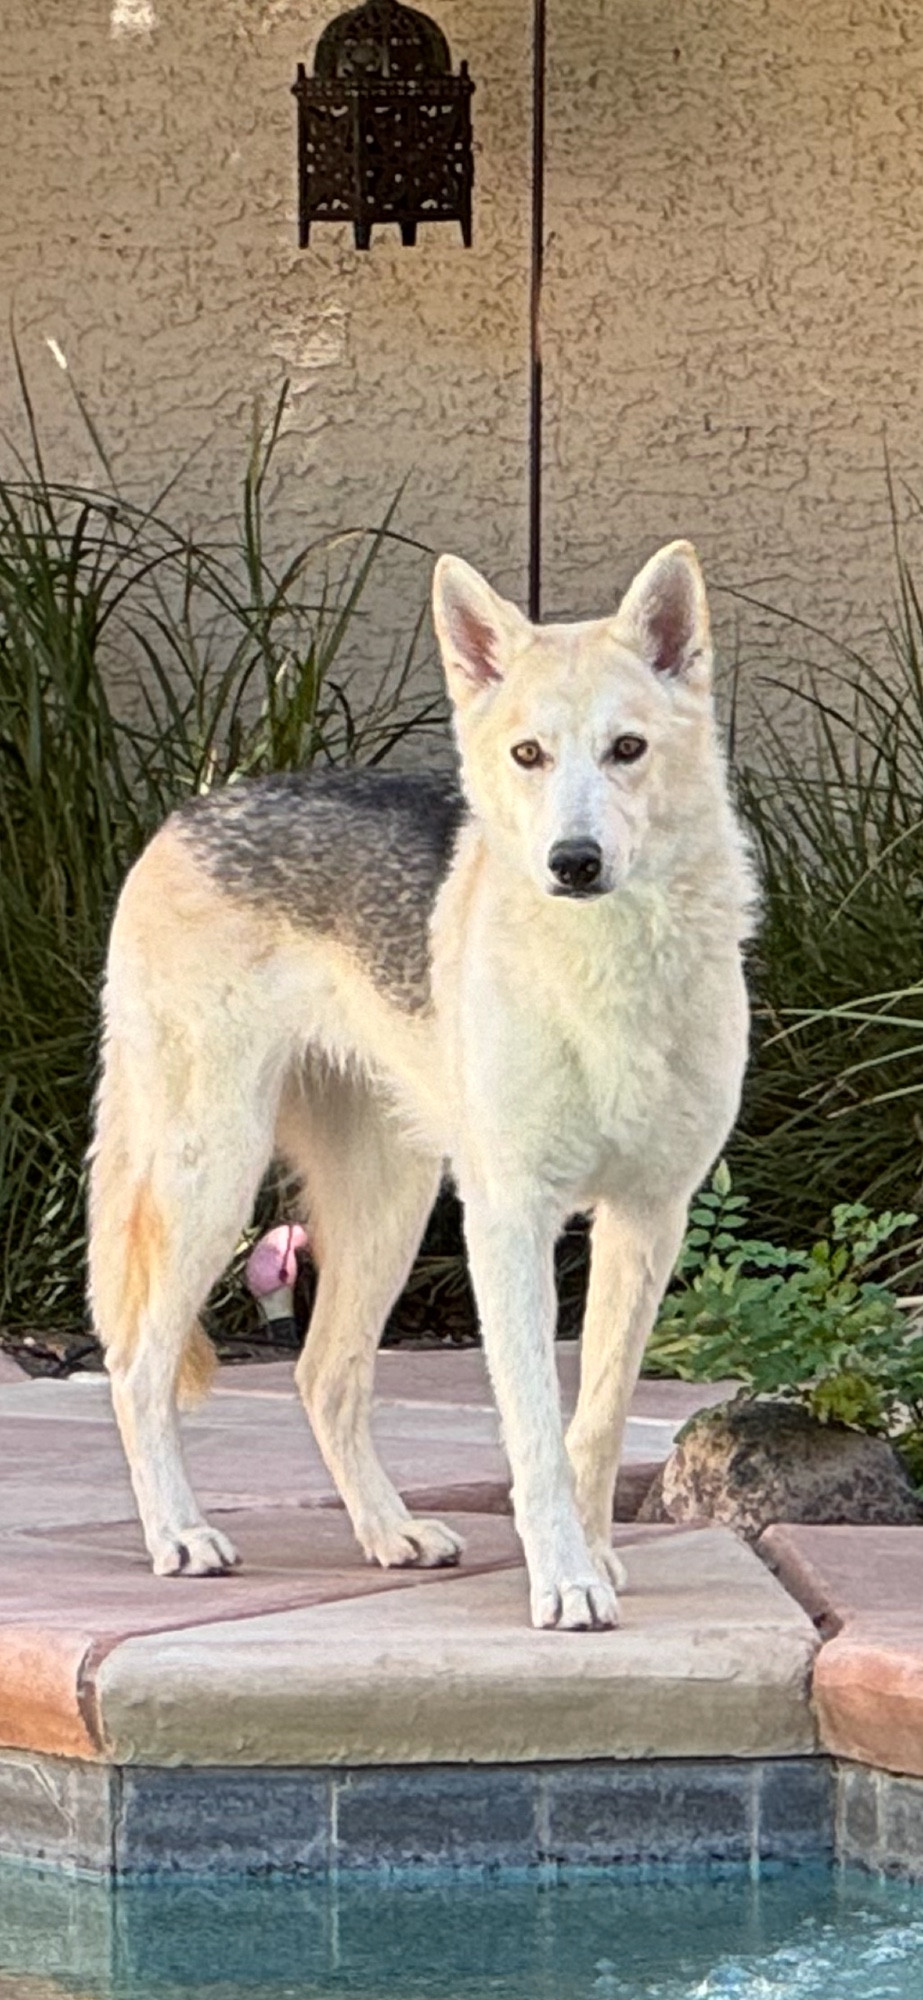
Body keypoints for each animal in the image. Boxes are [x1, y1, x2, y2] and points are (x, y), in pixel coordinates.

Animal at [86, 544, 755, 1624]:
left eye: (626, 749)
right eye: (528, 755)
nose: (573, 862)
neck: (603, 967)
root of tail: (189, 810)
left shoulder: (647, 1218)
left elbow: (599, 1418)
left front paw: (594, 1557)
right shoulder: (512, 1217)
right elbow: (534, 1430)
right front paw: (564, 1581)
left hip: (386, 1208)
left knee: (322, 1373)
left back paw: (389, 1531)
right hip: (213, 1180)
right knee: (137, 1362)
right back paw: (179, 1535)